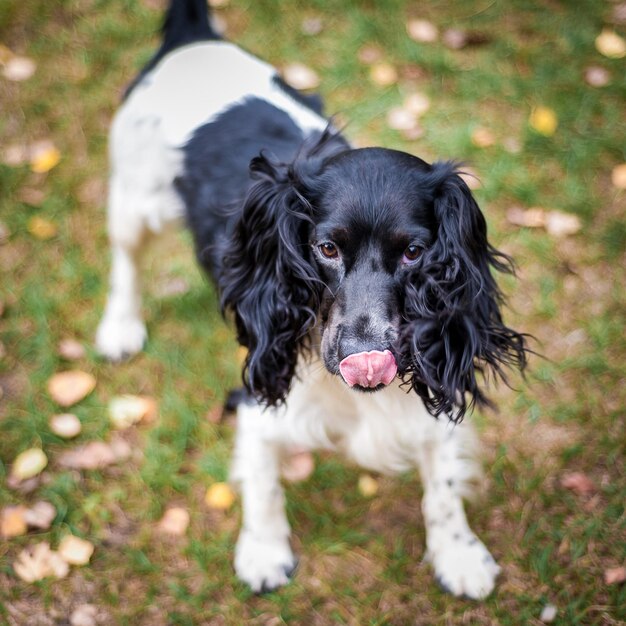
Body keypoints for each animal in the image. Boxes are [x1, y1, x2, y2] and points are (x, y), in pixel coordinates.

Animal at [96, 0, 528, 596]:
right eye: (326, 248)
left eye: (414, 252)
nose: (362, 355)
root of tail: (193, 38)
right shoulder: (258, 394)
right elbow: (263, 482)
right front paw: (263, 552)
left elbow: (442, 483)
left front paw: (458, 554)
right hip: (133, 199)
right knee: (127, 262)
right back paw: (120, 326)